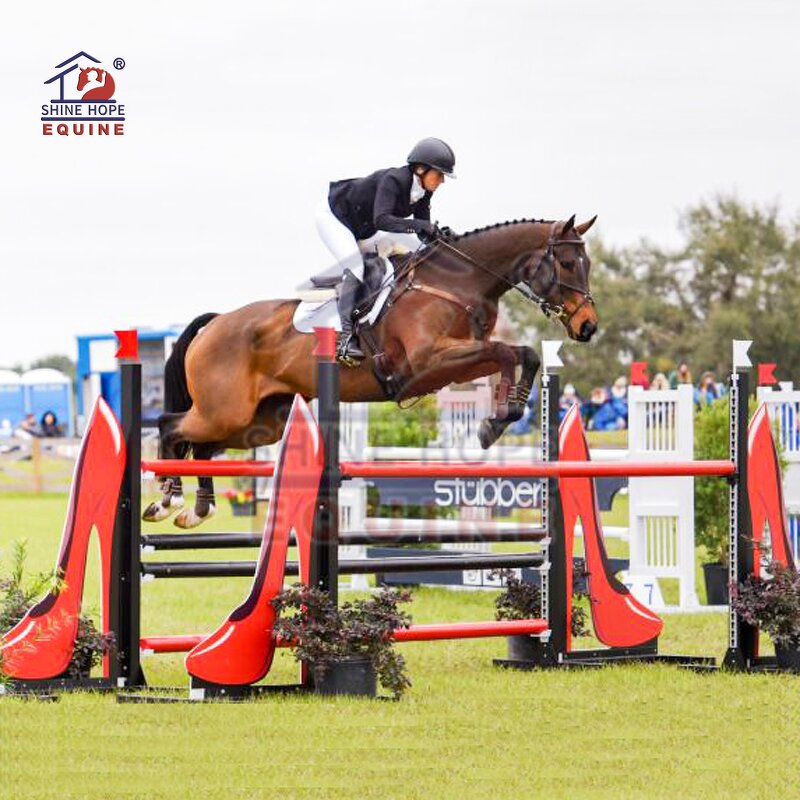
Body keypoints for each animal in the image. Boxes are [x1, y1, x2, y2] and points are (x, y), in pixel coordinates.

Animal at [143, 214, 598, 528]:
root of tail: (216, 323)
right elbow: (506, 352)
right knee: (170, 426)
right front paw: (494, 424)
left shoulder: (452, 365)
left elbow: (523, 354)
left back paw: (197, 511)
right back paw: (167, 502)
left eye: (587, 264)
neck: (457, 282)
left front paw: (502, 417)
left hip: (258, 422)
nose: (588, 327)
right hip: (225, 411)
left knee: (200, 445)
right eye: (568, 263)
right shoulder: (428, 361)